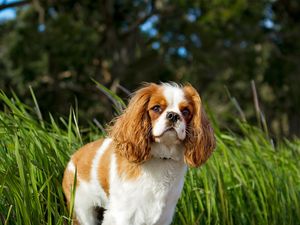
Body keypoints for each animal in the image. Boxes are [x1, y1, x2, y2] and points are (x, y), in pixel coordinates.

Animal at [62, 82, 214, 225]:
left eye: (186, 111)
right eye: (156, 108)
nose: (173, 115)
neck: (162, 157)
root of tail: (73, 158)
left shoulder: (164, 216)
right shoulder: (123, 214)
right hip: (82, 210)